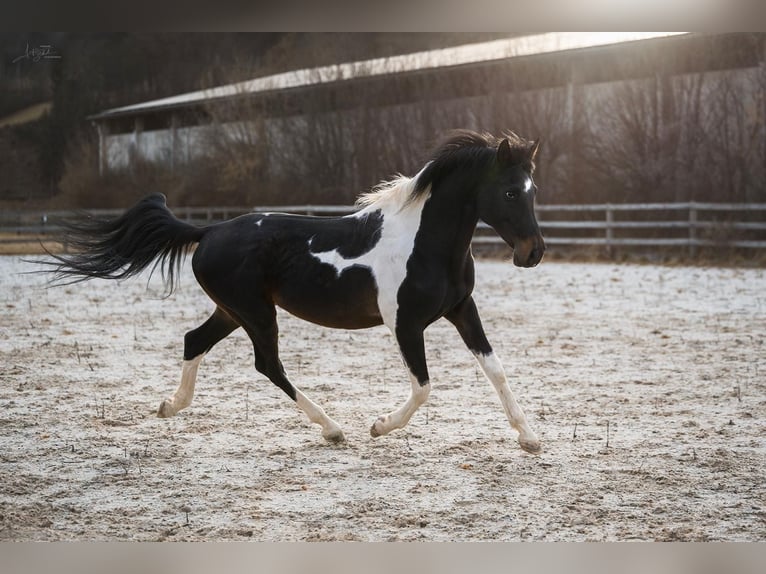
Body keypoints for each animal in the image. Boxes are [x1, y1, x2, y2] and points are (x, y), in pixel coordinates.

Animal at [40, 129, 544, 454]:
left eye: (532, 190)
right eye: (510, 193)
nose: (534, 253)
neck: (424, 243)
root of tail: (209, 231)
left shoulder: (462, 308)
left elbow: (496, 370)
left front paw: (529, 437)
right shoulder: (404, 323)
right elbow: (423, 388)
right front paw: (379, 427)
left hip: (233, 310)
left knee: (194, 341)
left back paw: (170, 406)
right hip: (255, 313)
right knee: (268, 365)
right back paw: (333, 429)